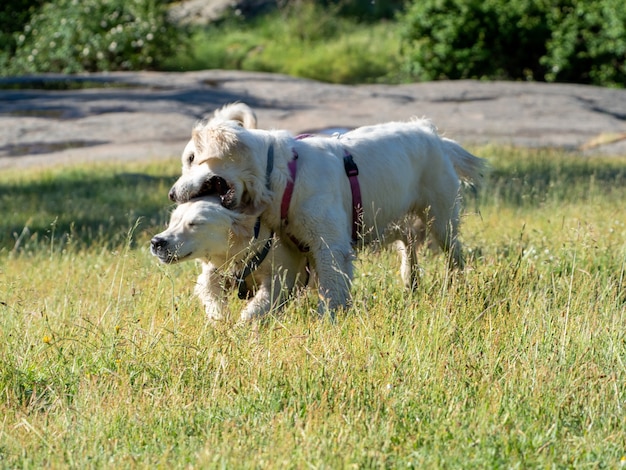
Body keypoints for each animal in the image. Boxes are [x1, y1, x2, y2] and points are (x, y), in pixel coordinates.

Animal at [167, 114, 482, 316]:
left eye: (192, 158)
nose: (171, 194)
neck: (282, 176)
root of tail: (432, 133)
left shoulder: (329, 244)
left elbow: (330, 287)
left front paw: (327, 320)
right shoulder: (295, 247)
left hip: (441, 219)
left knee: (454, 254)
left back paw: (455, 286)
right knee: (409, 245)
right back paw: (410, 281)